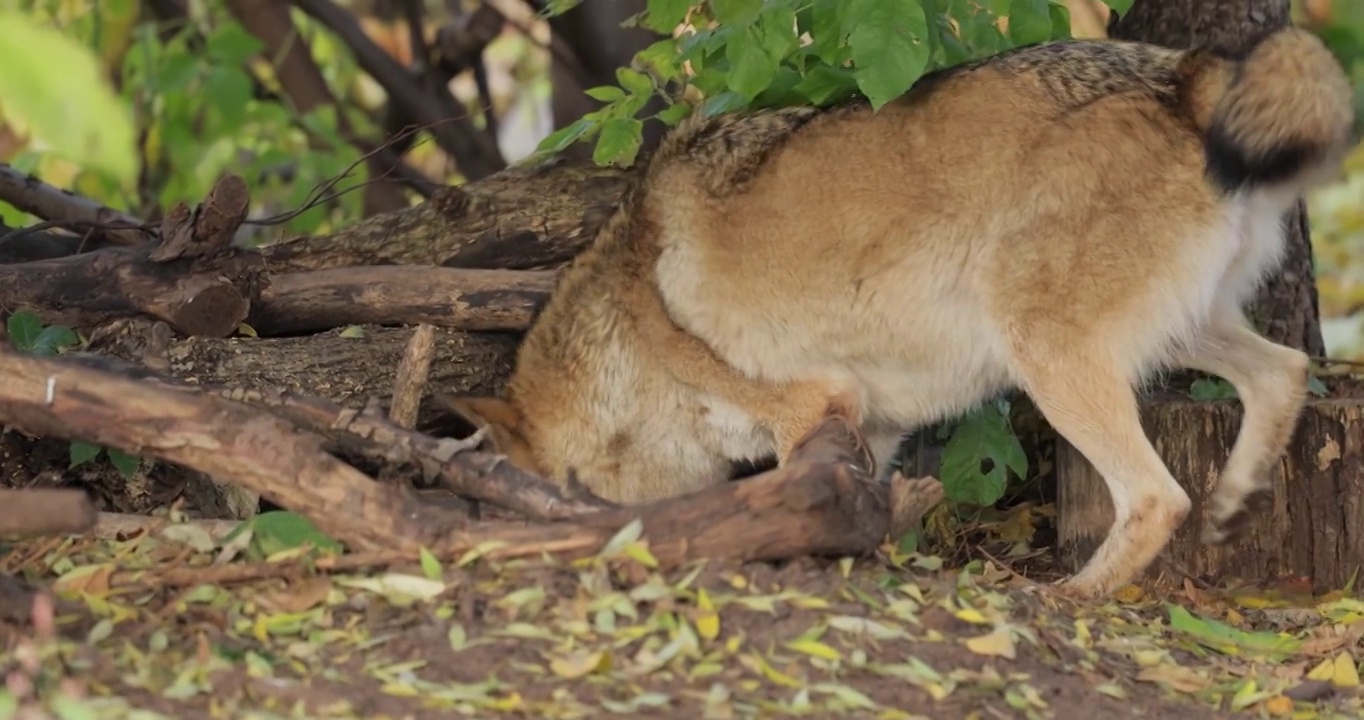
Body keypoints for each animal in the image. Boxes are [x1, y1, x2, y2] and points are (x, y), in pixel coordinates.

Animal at [441, 28, 1358, 600]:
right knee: (1286, 373)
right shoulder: (867, 435)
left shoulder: (807, 414)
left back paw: (1071, 596)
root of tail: (1184, 74)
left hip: (1048, 357)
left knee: (1159, 496)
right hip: (1185, 336)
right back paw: (1233, 499)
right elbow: (867, 515)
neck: (631, 333)